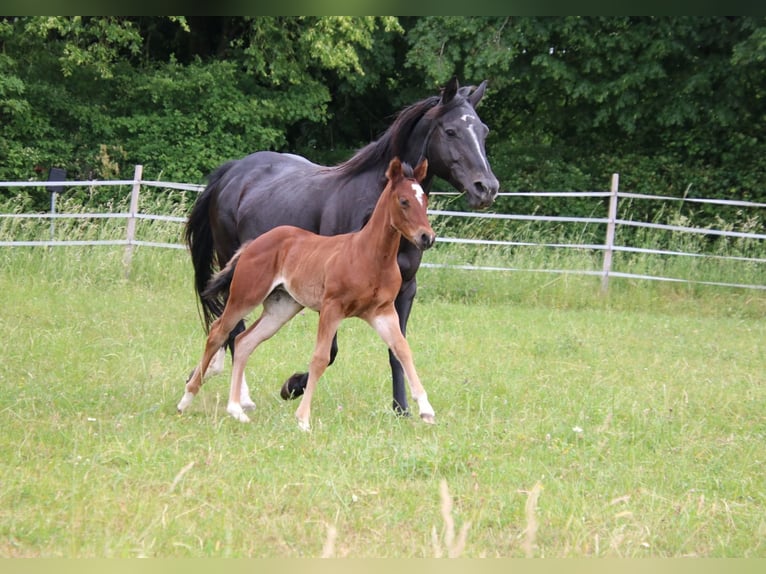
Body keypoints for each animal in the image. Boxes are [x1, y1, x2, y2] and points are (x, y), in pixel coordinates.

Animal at [178, 158, 437, 431]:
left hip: (280, 308)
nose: (427, 237)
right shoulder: (332, 308)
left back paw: (236, 408)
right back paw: (187, 399)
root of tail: (252, 244)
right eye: (404, 201)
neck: (369, 255)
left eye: (425, 200)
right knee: (219, 332)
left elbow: (402, 350)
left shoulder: (382, 312)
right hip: (245, 296)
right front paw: (302, 418)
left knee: (244, 341)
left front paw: (426, 411)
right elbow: (320, 358)